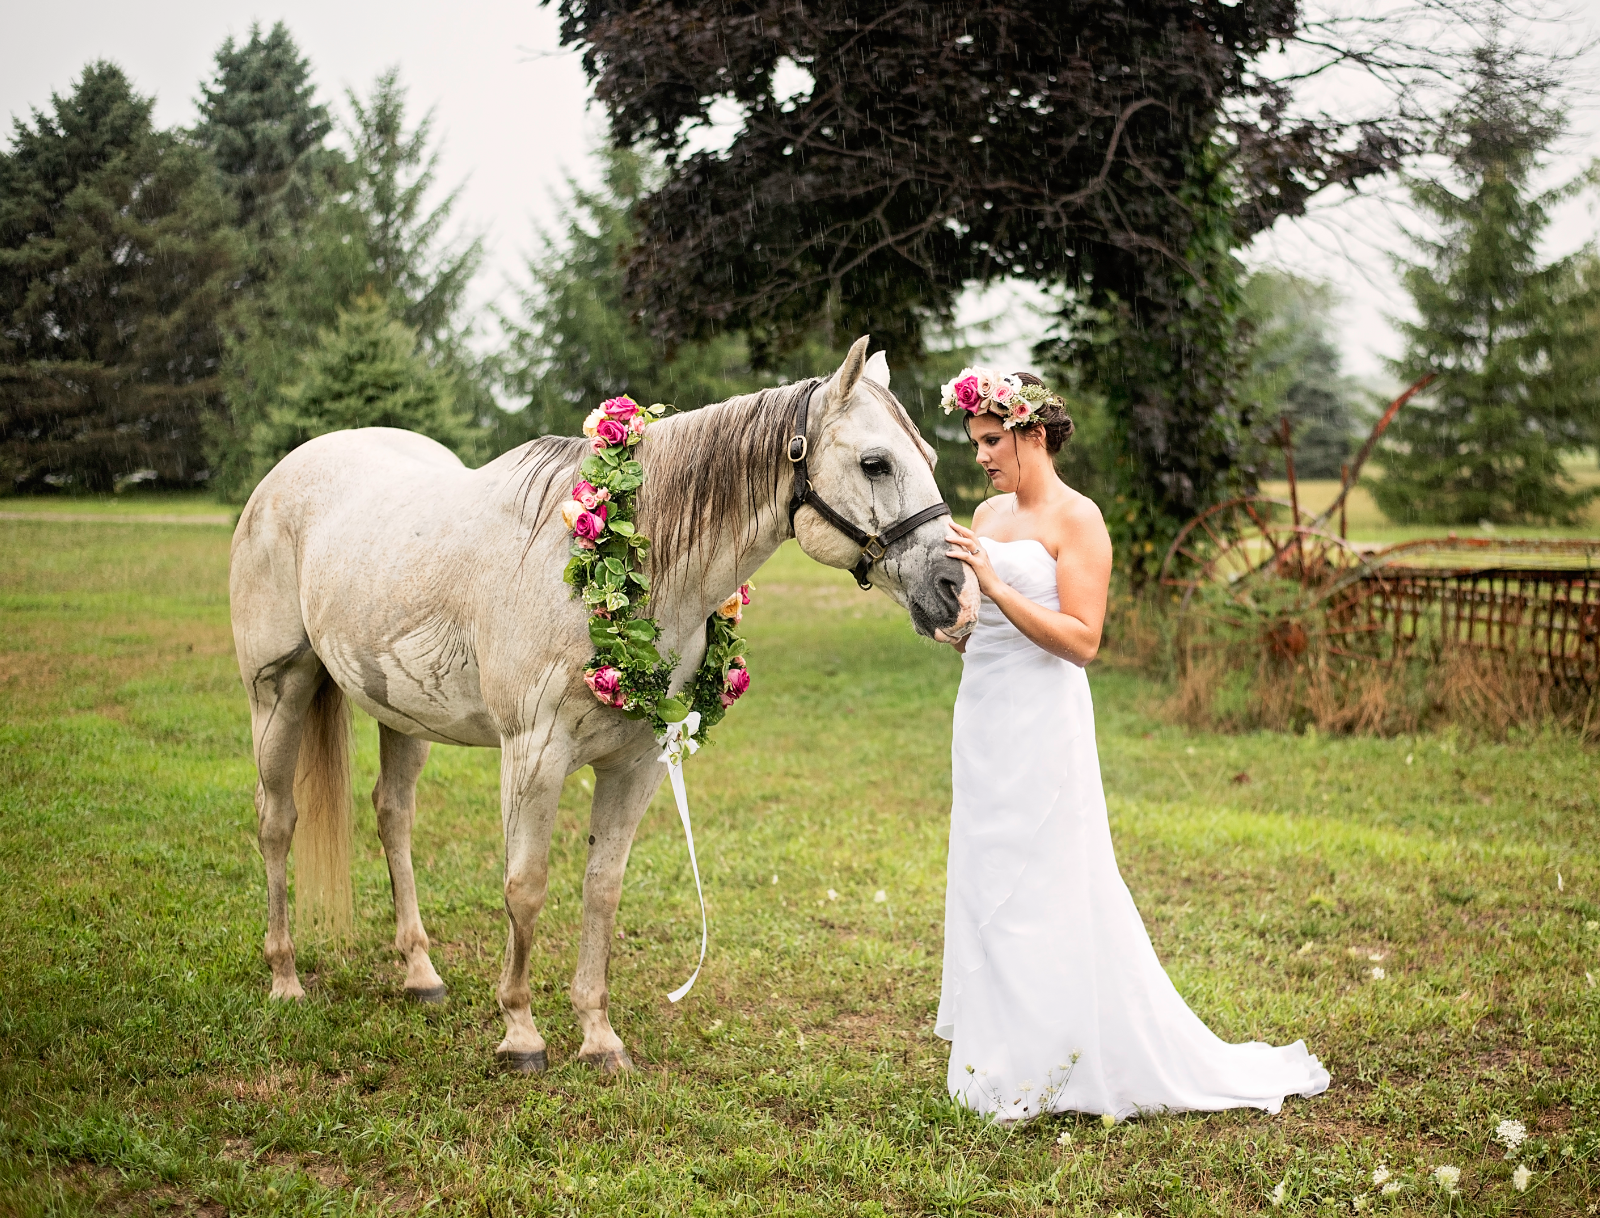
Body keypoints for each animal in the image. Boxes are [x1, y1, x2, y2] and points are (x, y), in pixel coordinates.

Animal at [225, 337, 972, 1069]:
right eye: (875, 463)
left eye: (932, 460)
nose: (955, 590)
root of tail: (284, 475)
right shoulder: (532, 756)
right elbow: (525, 887)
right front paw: (521, 1034)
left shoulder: (635, 765)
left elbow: (602, 887)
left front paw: (598, 1035)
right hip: (277, 694)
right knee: (277, 820)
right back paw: (285, 978)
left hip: (401, 710)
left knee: (393, 815)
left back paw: (420, 973)